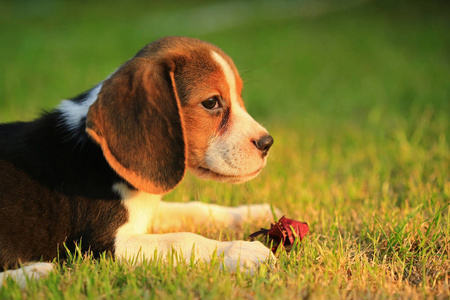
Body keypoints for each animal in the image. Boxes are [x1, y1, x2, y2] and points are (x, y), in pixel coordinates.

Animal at [0, 36, 276, 288]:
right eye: (211, 102)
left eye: (239, 96)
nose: (267, 143)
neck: (100, 156)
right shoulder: (103, 247)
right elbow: (183, 239)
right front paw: (242, 251)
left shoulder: (147, 208)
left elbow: (196, 208)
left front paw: (252, 212)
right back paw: (35, 274)